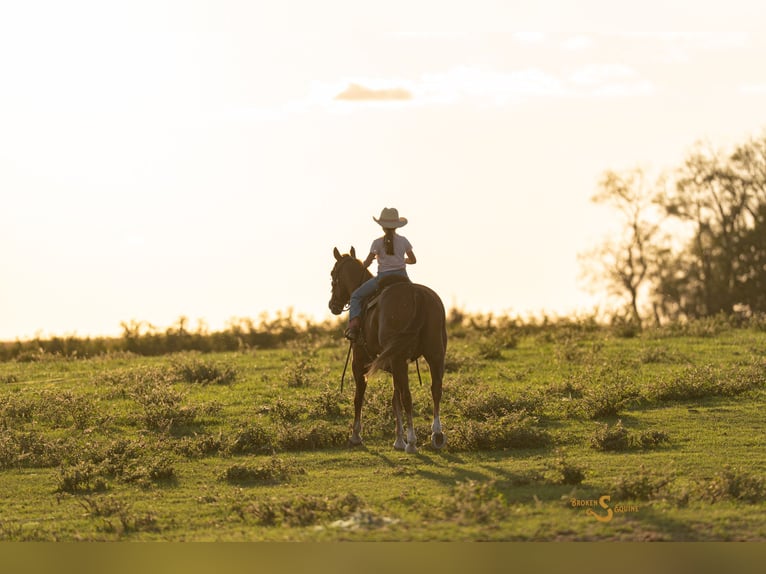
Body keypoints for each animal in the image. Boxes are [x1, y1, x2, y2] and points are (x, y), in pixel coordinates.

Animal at [328, 246, 447, 453]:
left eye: (333, 274)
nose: (332, 305)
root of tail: (416, 295)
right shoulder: (393, 363)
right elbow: (395, 399)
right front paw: (398, 440)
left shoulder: (359, 362)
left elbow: (359, 397)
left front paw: (356, 436)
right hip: (434, 354)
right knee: (435, 390)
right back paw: (436, 435)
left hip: (399, 359)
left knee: (408, 395)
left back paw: (413, 442)